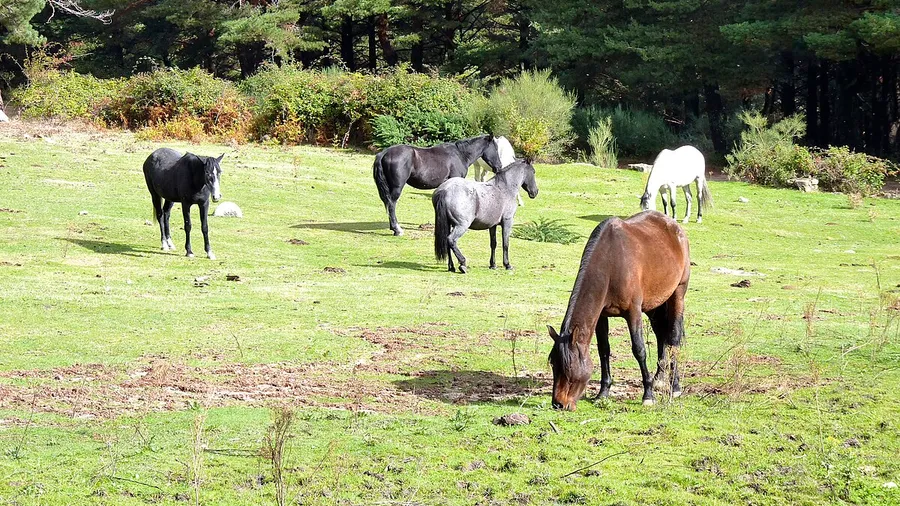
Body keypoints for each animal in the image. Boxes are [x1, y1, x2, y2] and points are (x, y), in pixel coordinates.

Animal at [373, 134, 505, 236]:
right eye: (495, 148)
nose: (499, 166)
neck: (460, 154)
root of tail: (384, 153)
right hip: (397, 187)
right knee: (391, 204)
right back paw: (397, 229)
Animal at [547, 211, 690, 410]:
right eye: (553, 364)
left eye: (568, 367)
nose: (558, 404)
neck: (611, 263)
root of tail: (674, 226)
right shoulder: (601, 316)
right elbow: (604, 350)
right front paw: (603, 393)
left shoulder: (633, 312)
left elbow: (639, 349)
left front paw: (648, 395)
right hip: (654, 305)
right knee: (662, 336)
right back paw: (659, 379)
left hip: (678, 294)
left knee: (673, 339)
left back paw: (674, 386)